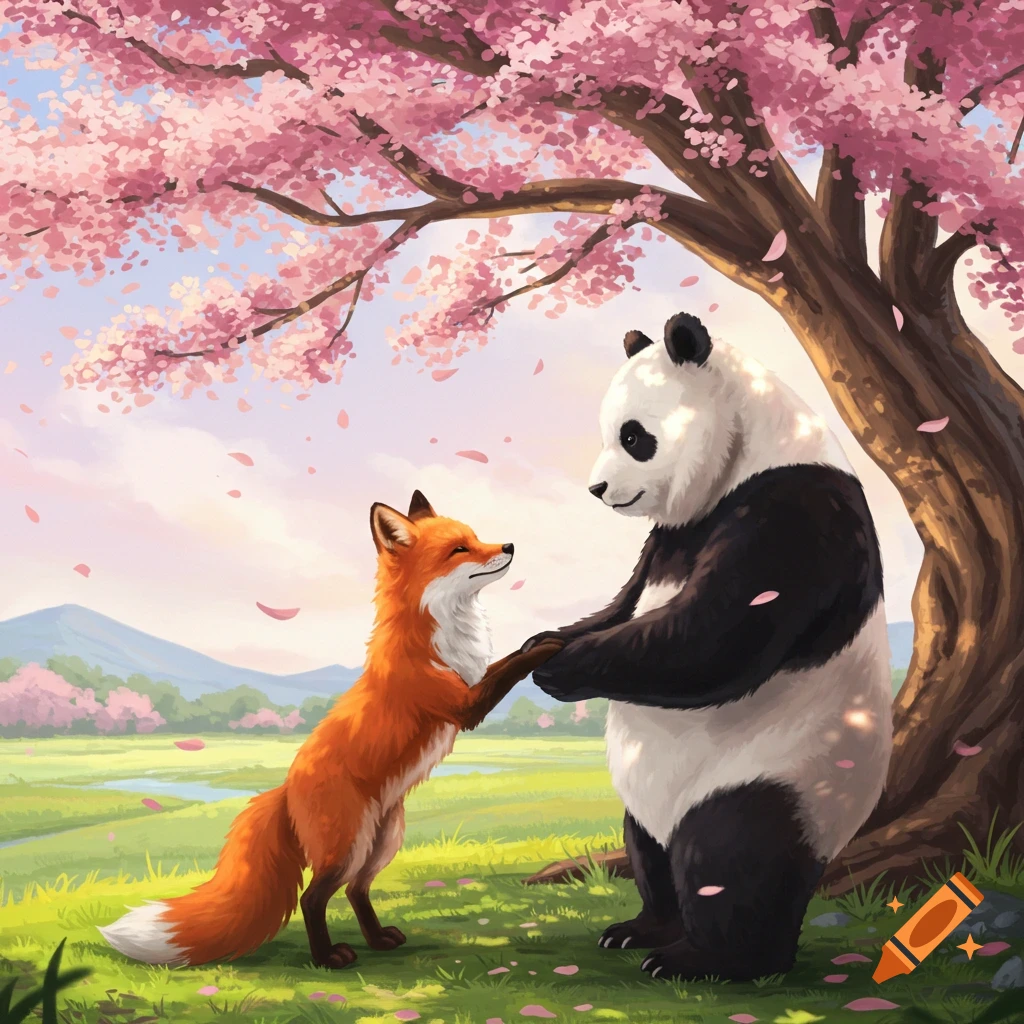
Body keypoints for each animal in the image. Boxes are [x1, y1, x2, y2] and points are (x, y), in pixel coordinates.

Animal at [98, 490, 563, 969]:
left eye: (475, 537)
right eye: (459, 548)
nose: (508, 546)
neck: (435, 633)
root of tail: (285, 790)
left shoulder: (470, 685)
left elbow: (505, 659)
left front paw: (537, 638)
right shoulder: (463, 704)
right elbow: (508, 669)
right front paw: (546, 646)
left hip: (382, 842)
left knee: (357, 890)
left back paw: (378, 939)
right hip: (347, 846)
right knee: (312, 898)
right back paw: (328, 958)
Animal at [526, 311, 893, 983]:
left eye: (635, 437)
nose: (598, 488)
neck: (755, 448)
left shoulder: (794, 511)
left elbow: (717, 637)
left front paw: (563, 667)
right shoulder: (668, 536)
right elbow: (626, 602)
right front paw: (546, 641)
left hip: (782, 771)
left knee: (731, 853)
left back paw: (708, 960)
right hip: (650, 796)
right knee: (649, 852)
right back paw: (641, 930)